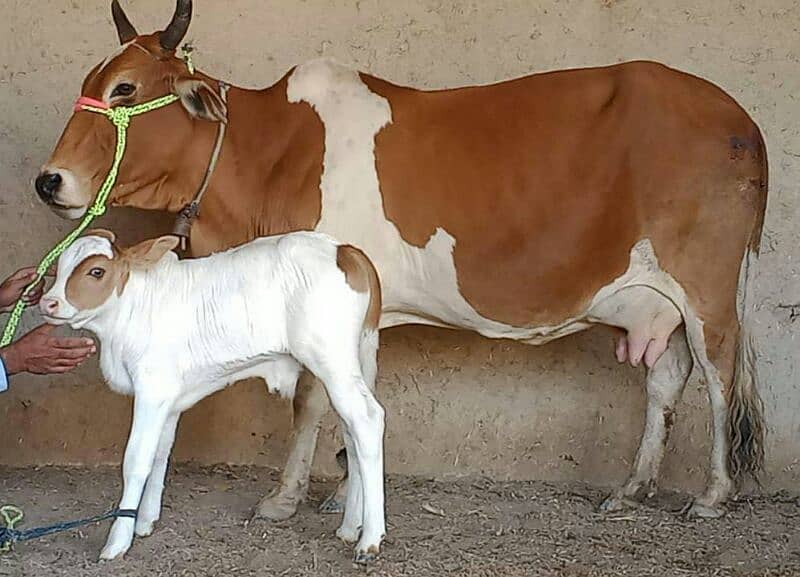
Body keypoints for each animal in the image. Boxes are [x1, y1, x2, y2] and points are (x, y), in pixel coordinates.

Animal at [36, 0, 768, 520]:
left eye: (126, 88)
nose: (49, 180)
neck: (267, 155)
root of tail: (737, 115)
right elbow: (353, 389)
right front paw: (344, 489)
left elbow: (313, 397)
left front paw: (285, 498)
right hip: (652, 298)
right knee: (667, 377)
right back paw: (634, 487)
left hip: (706, 283)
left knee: (720, 373)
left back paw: (713, 494)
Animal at [38, 230, 388, 564]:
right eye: (58, 268)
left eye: (96, 271)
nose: (47, 303)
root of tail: (344, 248)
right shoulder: (169, 398)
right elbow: (161, 453)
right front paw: (146, 522)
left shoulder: (152, 390)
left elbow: (136, 460)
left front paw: (117, 541)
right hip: (354, 359)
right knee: (353, 433)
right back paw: (349, 528)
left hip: (330, 360)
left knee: (367, 419)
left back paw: (370, 540)